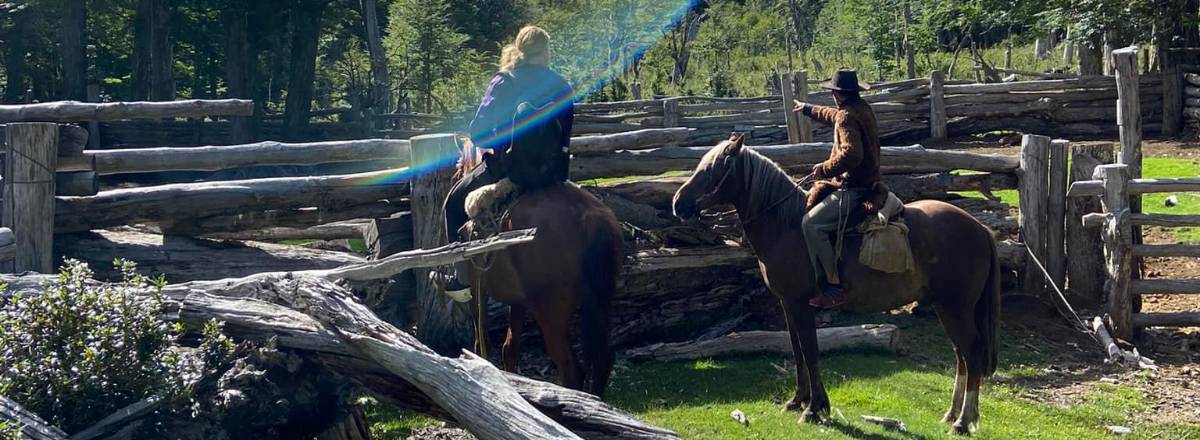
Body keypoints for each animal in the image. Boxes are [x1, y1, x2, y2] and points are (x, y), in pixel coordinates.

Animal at [456, 163, 624, 400]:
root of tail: (588, 216)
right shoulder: (517, 301)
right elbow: (510, 347)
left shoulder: (477, 294)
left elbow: (482, 344)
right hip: (599, 305)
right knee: (602, 360)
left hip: (549, 314)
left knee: (571, 370)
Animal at [672, 136, 998, 436]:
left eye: (712, 169)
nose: (678, 204)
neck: (787, 226)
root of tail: (980, 228)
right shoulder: (788, 305)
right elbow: (797, 352)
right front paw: (797, 401)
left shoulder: (800, 305)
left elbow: (811, 353)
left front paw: (814, 409)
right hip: (949, 309)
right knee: (961, 356)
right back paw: (952, 414)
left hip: (955, 308)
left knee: (971, 355)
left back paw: (962, 421)